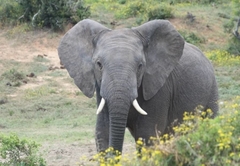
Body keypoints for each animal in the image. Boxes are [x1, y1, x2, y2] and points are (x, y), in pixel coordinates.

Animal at [58, 18, 219, 154]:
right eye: (99, 64)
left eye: (140, 66)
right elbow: (102, 131)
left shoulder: (160, 89)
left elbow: (147, 135)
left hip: (212, 90)